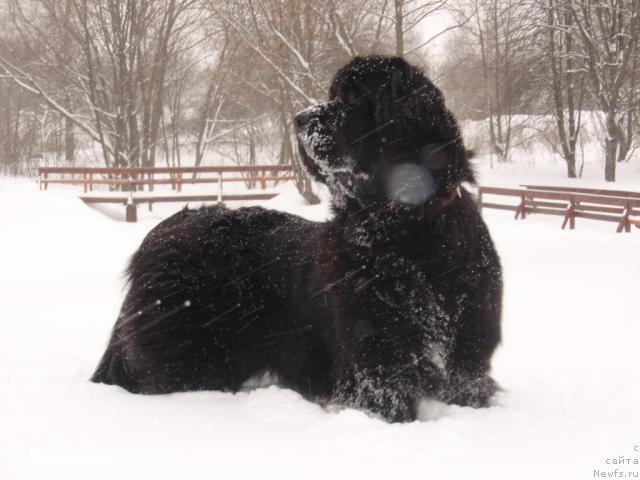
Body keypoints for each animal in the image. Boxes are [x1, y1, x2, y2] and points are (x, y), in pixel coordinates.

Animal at [91, 57, 500, 424]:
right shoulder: (375, 361)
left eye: (354, 98)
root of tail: (162, 230)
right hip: (187, 349)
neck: (402, 231)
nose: (300, 118)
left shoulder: (469, 355)